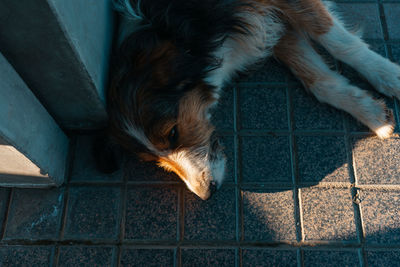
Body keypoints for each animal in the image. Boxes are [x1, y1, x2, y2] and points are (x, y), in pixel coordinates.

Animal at [105, 0, 400, 200]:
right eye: (154, 161)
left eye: (173, 133)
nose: (207, 194)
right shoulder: (265, 27)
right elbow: (317, 79)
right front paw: (371, 112)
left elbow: (339, 43)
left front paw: (390, 76)